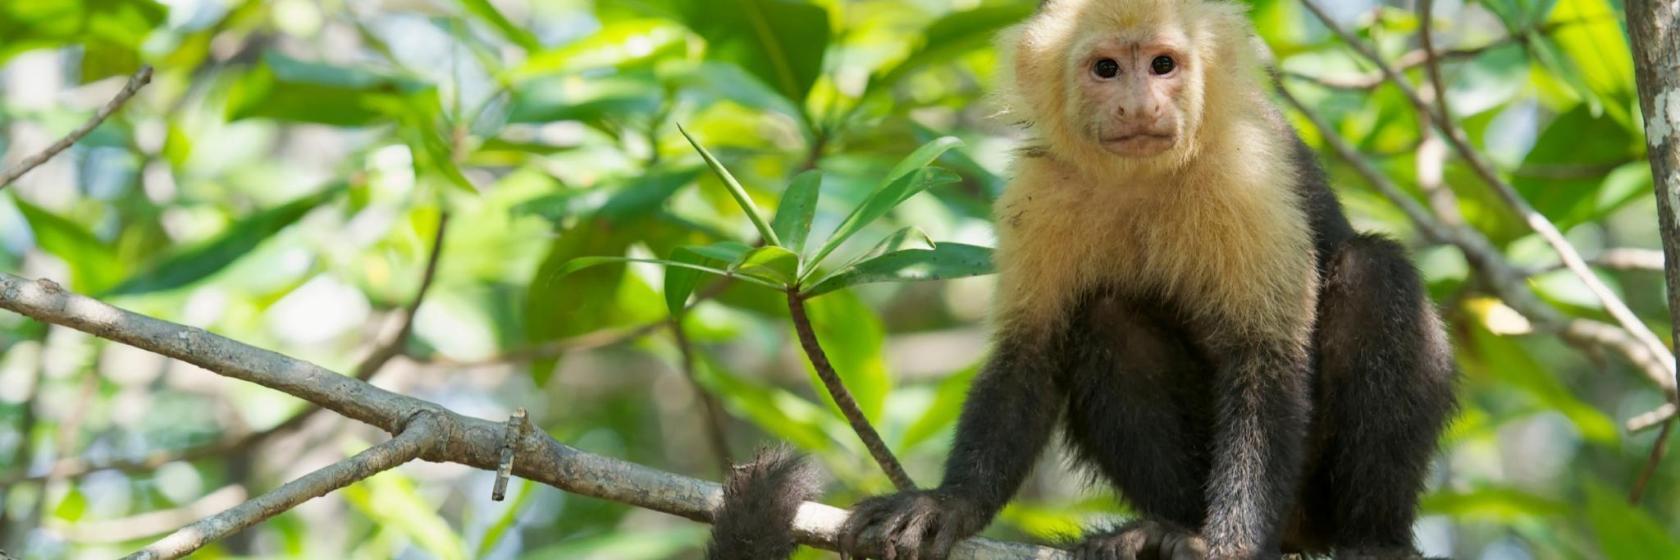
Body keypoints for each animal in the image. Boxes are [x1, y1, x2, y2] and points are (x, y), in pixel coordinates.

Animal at [837, 1, 1457, 559]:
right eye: (1106, 68)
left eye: (1163, 64)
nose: (1138, 104)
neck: (1143, 178)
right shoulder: (1040, 192)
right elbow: (1029, 352)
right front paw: (949, 503)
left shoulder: (1246, 172)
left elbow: (1265, 355)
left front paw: (1230, 547)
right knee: (1106, 320)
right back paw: (1162, 529)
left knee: (1375, 273)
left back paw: (1373, 540)